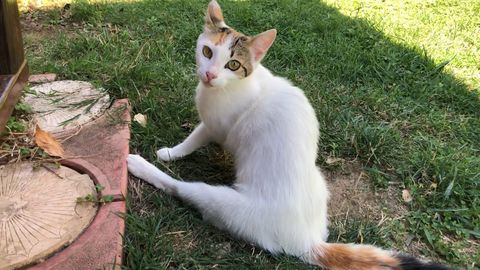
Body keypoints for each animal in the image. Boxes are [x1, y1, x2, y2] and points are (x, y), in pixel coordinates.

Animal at [126, 1, 446, 268]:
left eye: (233, 64)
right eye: (207, 52)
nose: (209, 74)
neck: (232, 86)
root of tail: (308, 241)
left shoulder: (217, 126)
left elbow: (195, 137)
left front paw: (172, 152)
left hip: (222, 201)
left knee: (179, 188)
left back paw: (141, 165)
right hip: (319, 180)